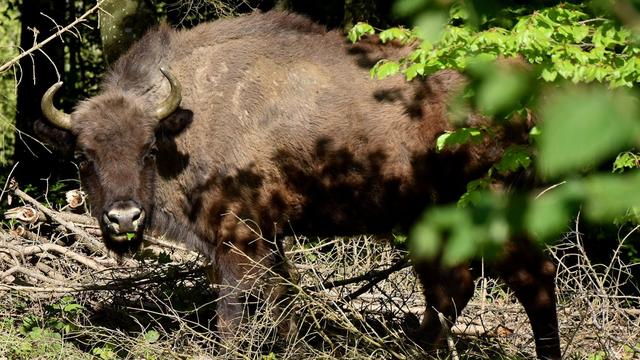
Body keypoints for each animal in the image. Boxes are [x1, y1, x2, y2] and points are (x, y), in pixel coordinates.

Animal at [38, 11, 560, 360]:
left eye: (148, 148)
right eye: (82, 155)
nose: (123, 218)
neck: (186, 125)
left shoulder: (239, 238)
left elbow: (237, 314)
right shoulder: (259, 240)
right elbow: (282, 301)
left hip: (493, 209)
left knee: (534, 279)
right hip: (428, 222)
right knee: (450, 290)